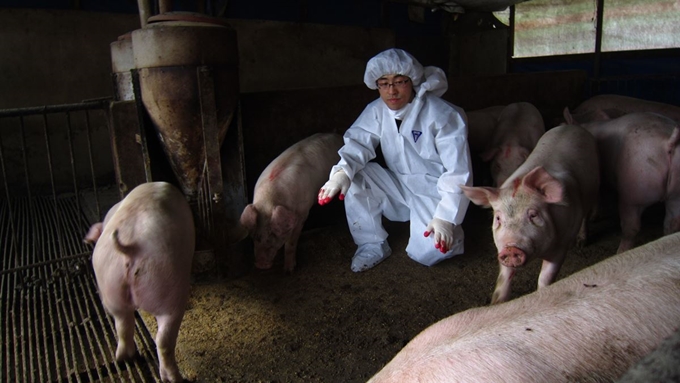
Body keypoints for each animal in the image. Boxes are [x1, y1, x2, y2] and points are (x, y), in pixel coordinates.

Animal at [83, 182, 194, 383]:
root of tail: (131, 247)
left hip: (110, 284)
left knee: (122, 325)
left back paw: (124, 357)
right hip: (168, 286)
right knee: (163, 341)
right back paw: (173, 378)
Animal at [240, 132, 346, 272]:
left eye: (273, 235)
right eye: (255, 237)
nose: (261, 265)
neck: (268, 202)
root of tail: (336, 134)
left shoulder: (302, 214)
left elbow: (291, 243)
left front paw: (289, 270)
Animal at [460, 126, 596, 306]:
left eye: (533, 215)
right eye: (498, 218)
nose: (511, 248)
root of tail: (571, 126)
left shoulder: (561, 247)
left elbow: (545, 278)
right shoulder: (501, 248)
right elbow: (503, 280)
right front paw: (497, 303)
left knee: (587, 215)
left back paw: (581, 242)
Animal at [564, 110, 680, 255]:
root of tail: (668, 142)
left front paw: (580, 243)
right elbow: (599, 195)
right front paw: (595, 217)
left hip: (634, 190)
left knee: (631, 228)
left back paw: (620, 252)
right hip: (675, 194)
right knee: (672, 223)